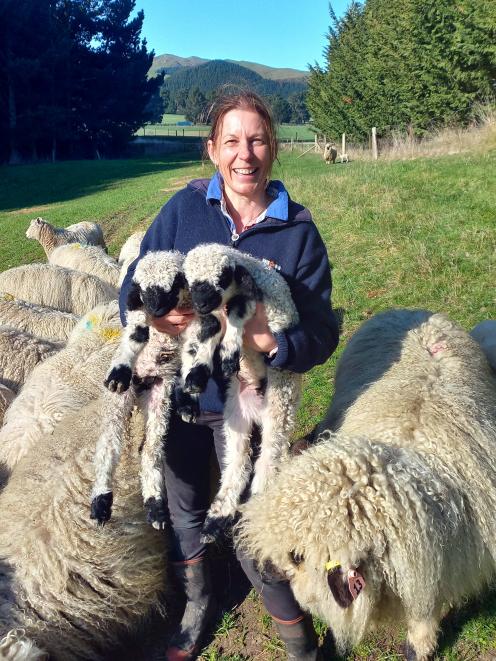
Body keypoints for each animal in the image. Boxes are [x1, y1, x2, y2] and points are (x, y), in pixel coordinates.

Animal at [180, 242, 300, 540]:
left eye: (222, 277)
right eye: (190, 281)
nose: (201, 303)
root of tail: (256, 409)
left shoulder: (256, 301)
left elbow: (236, 309)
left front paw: (228, 354)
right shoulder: (210, 317)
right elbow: (210, 328)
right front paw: (197, 375)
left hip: (280, 403)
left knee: (268, 457)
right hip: (235, 413)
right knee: (238, 463)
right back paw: (216, 520)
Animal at [235, 310, 496, 660]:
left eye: (297, 556)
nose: (262, 572)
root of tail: (410, 311)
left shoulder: (431, 568)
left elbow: (425, 612)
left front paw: (419, 645)